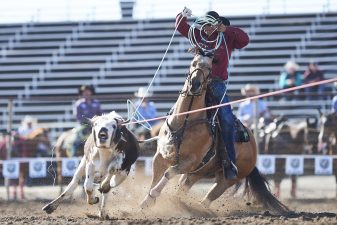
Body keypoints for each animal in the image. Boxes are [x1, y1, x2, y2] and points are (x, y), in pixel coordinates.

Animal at [139, 54, 288, 214]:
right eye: (193, 63)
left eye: (209, 68)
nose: (195, 84)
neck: (185, 121)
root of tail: (253, 147)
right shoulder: (160, 157)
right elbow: (155, 178)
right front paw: (146, 202)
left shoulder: (189, 161)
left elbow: (168, 173)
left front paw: (151, 197)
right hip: (196, 173)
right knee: (182, 190)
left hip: (227, 179)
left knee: (207, 199)